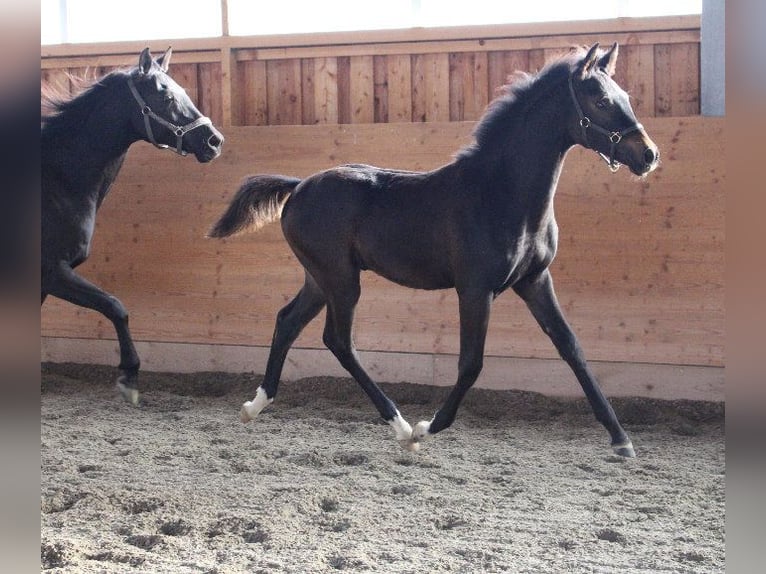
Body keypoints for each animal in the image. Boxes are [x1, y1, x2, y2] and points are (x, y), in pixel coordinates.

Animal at [42, 48, 224, 404]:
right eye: (165, 94)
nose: (214, 141)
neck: (55, 180)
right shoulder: (53, 270)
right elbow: (115, 306)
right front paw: (129, 376)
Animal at [210, 44, 660, 460]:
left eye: (625, 96)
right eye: (601, 101)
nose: (649, 155)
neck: (501, 194)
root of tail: (299, 185)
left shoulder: (534, 280)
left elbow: (571, 347)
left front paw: (621, 439)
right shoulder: (475, 289)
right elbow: (471, 362)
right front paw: (429, 427)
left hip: (320, 278)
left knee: (288, 321)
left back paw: (255, 405)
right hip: (340, 279)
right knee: (338, 340)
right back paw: (401, 426)